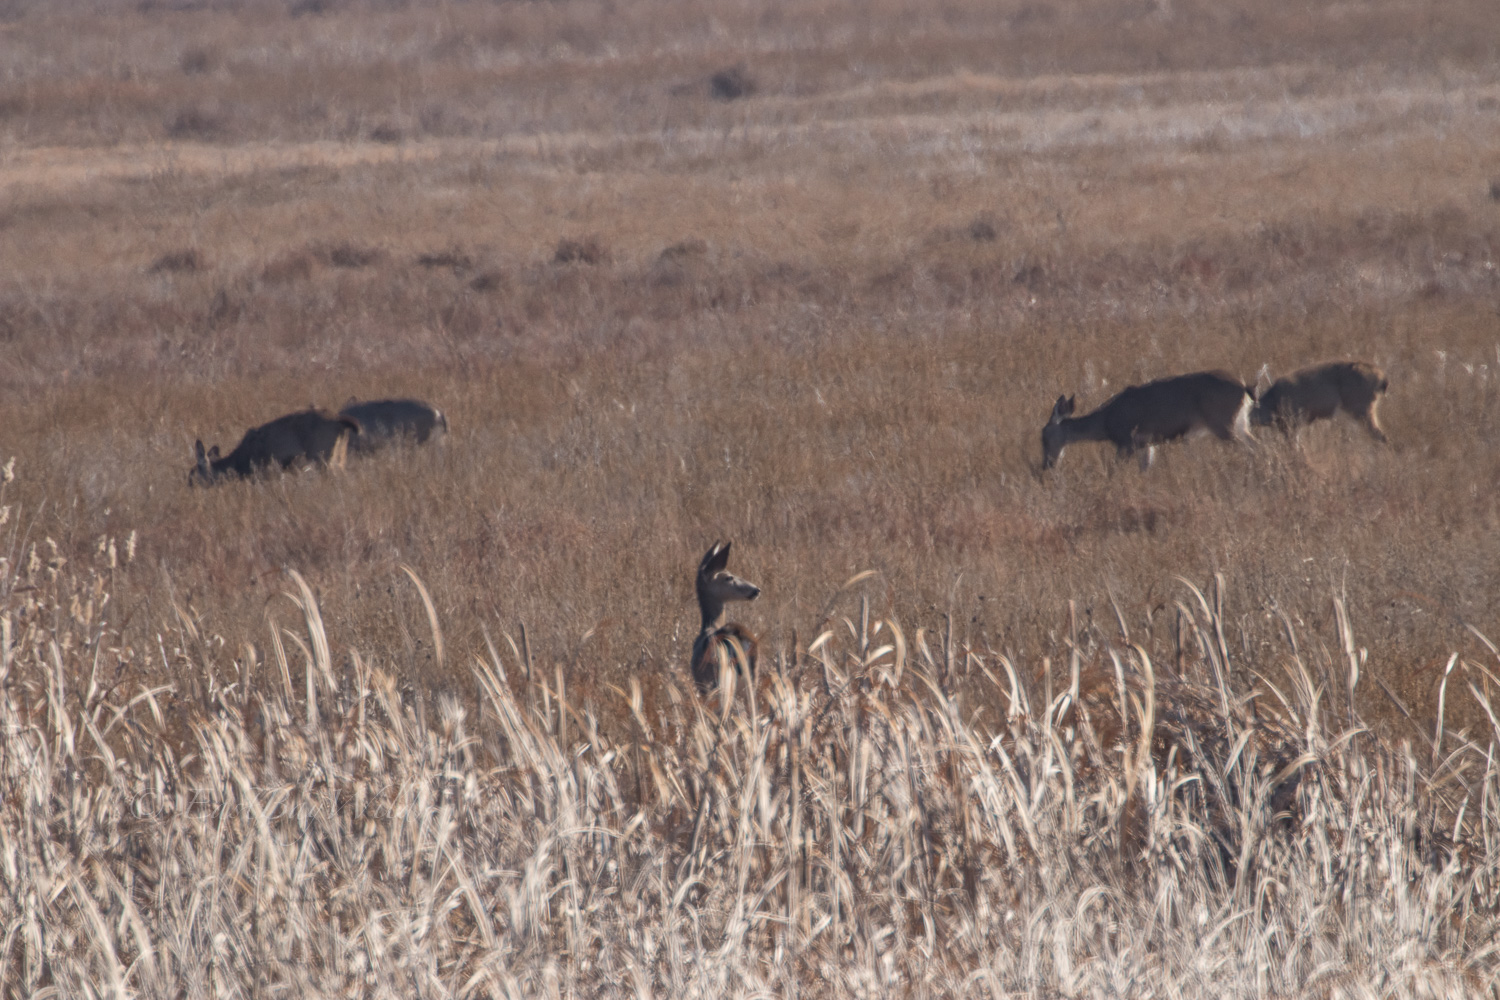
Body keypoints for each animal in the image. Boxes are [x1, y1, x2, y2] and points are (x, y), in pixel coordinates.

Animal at [190, 407, 360, 485]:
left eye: (193, 472)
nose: (189, 486)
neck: (240, 460)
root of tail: (339, 420)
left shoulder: (263, 471)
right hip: (339, 454)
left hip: (322, 455)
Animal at [1044, 371, 1254, 473]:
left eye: (1043, 438)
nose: (1047, 464)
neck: (1105, 423)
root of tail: (1244, 388)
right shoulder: (1145, 444)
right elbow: (1145, 469)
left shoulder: (1126, 442)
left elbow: (1114, 469)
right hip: (1239, 422)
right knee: (1254, 443)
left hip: (1222, 422)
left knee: (1246, 448)